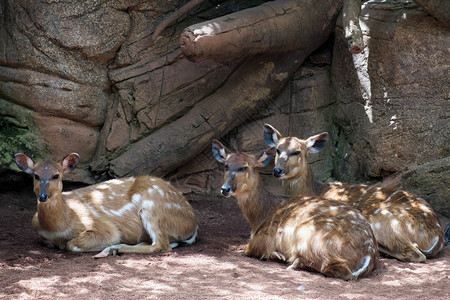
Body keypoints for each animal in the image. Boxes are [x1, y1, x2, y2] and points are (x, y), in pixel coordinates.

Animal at [14, 152, 198, 258]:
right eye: (36, 175)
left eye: (56, 175)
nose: (43, 196)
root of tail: (193, 222)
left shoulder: (103, 227)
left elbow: (71, 244)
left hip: (152, 207)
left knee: (161, 245)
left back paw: (111, 249)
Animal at [213, 139, 378, 280]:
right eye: (226, 166)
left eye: (243, 167)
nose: (224, 189)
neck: (261, 216)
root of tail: (369, 253)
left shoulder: (266, 236)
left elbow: (249, 248)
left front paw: (275, 254)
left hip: (312, 238)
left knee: (338, 268)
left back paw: (291, 261)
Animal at [262, 123, 444, 262]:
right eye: (278, 149)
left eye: (296, 152)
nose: (277, 171)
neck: (316, 189)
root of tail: (437, 236)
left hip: (382, 219)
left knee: (415, 254)